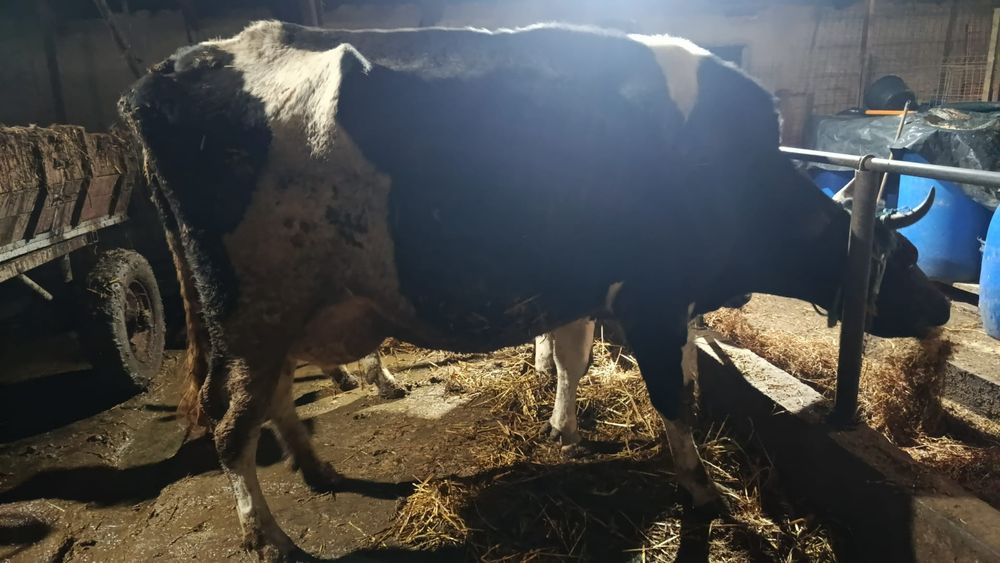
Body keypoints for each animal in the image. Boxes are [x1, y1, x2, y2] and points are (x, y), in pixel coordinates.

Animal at [120, 22, 949, 560]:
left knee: (273, 400)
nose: (943, 306)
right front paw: (700, 487)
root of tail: (160, 78)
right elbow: (669, 396)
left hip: (283, 311)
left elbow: (584, 363)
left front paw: (565, 427)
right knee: (231, 427)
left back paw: (316, 468)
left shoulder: (606, 292)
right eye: (904, 255)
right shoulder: (651, 296)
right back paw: (270, 538)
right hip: (251, 309)